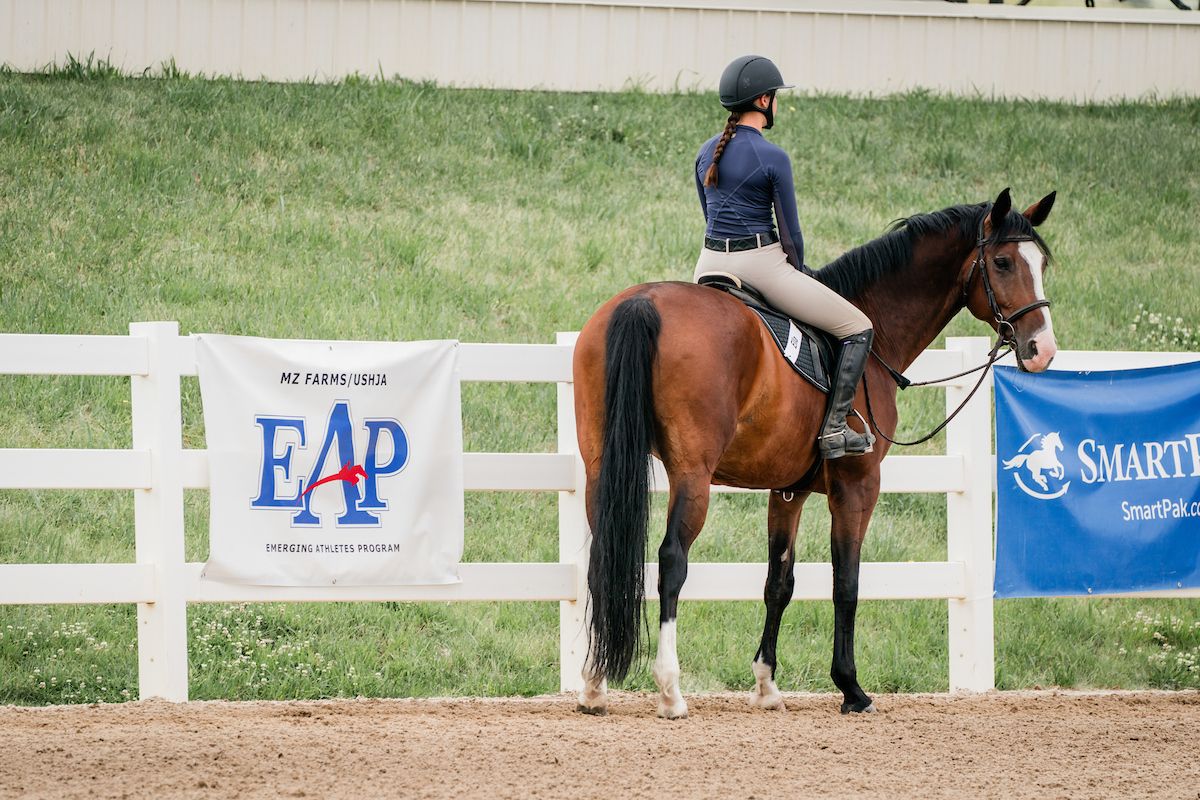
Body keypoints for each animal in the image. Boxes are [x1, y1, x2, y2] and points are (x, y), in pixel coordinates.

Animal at [576, 189, 1056, 719]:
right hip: (692, 475)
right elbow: (846, 582)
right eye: (1004, 262)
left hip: (600, 467)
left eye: (1041, 264)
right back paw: (669, 689)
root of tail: (645, 302)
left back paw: (594, 685)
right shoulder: (857, 486)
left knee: (602, 556)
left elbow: (778, 582)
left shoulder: (788, 492)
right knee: (672, 561)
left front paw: (766, 683)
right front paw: (851, 688)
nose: (1042, 349)